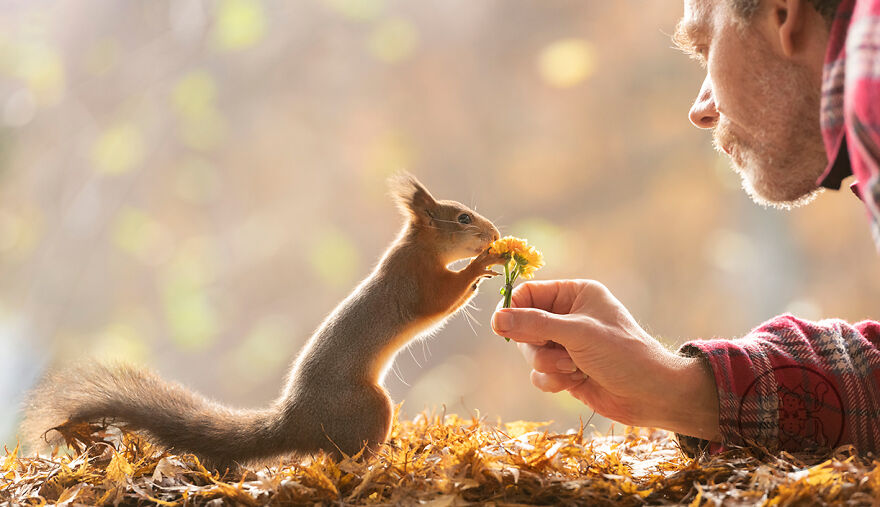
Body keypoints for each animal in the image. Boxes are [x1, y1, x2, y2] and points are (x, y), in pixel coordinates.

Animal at [21, 173, 503, 470]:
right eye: (463, 218)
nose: (495, 234)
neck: (420, 247)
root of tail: (296, 420)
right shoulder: (415, 282)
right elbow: (439, 302)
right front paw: (482, 265)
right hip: (367, 407)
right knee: (347, 457)